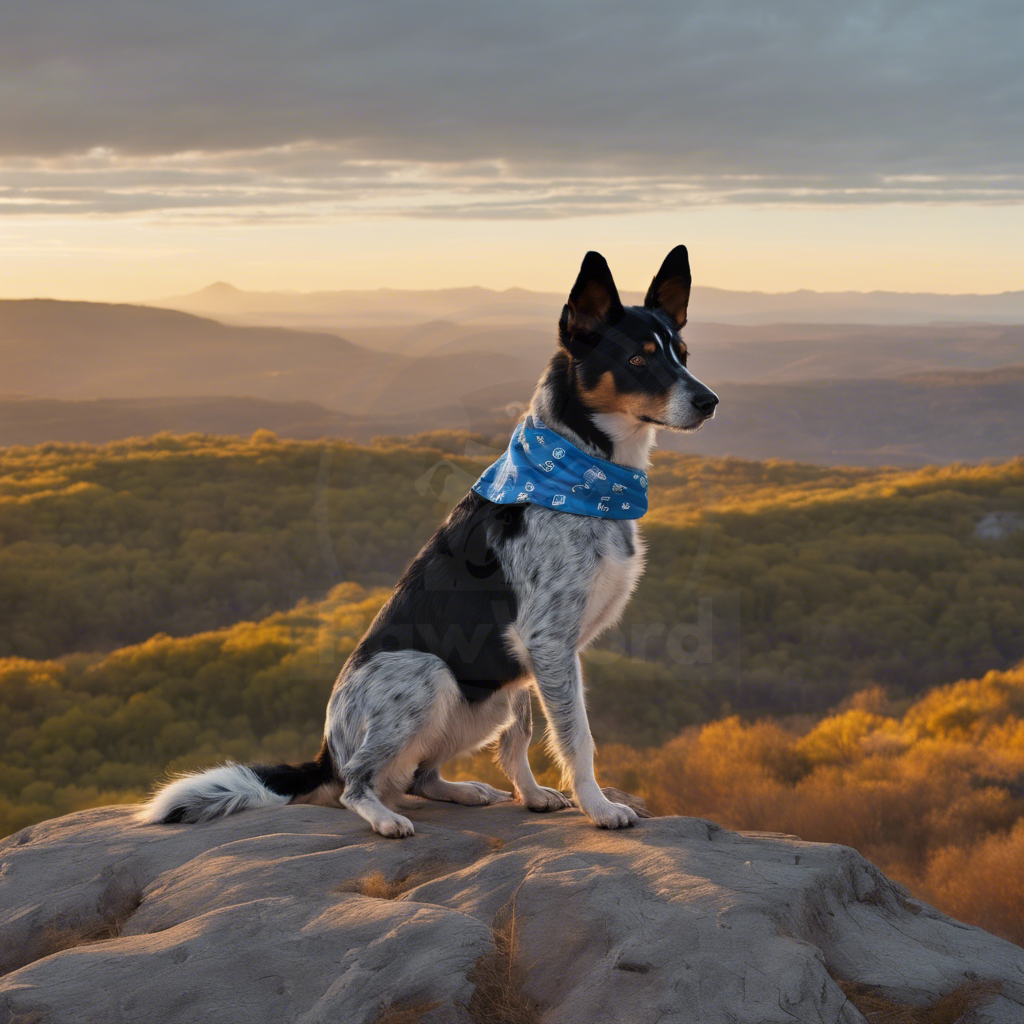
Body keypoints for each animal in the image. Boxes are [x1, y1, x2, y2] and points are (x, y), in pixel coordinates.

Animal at [142, 243, 720, 835]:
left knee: (420, 775)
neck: (584, 473)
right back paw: (383, 817)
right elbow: (576, 738)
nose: (709, 401)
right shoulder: (549, 641)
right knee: (357, 784)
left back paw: (462, 790)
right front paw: (599, 806)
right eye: (637, 360)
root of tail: (327, 750)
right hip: (429, 674)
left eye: (682, 355)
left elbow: (521, 740)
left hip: (487, 695)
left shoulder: (532, 660)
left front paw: (534, 796)